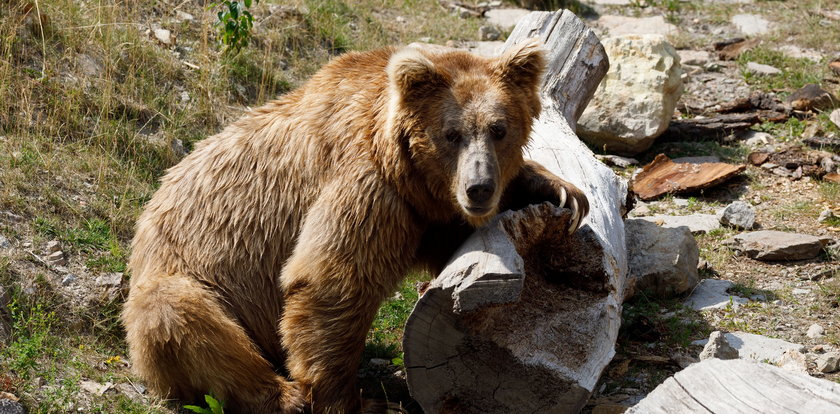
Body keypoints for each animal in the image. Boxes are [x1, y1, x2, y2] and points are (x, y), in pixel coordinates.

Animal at [121, 39, 588, 414]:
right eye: (452, 133)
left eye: (499, 129)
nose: (478, 188)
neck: (403, 165)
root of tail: (145, 219)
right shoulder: (367, 184)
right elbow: (333, 280)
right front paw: (356, 402)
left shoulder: (421, 213)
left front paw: (560, 191)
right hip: (190, 279)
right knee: (181, 319)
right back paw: (284, 396)